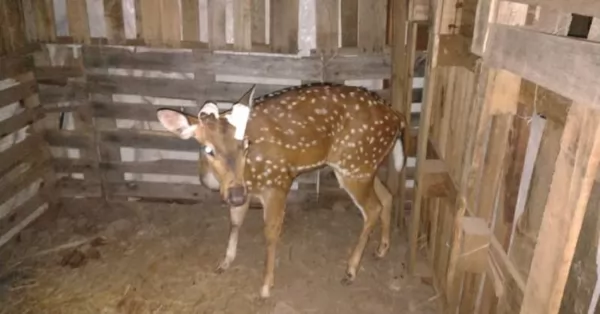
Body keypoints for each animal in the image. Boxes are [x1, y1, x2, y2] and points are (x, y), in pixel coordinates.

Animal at [156, 82, 408, 298]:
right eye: (208, 149)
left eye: (245, 144)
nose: (235, 194)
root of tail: (398, 117)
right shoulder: (246, 189)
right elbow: (235, 222)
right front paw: (224, 263)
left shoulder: (277, 181)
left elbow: (270, 232)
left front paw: (266, 286)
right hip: (362, 166)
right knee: (387, 196)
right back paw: (381, 250)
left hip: (356, 163)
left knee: (373, 208)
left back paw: (351, 270)